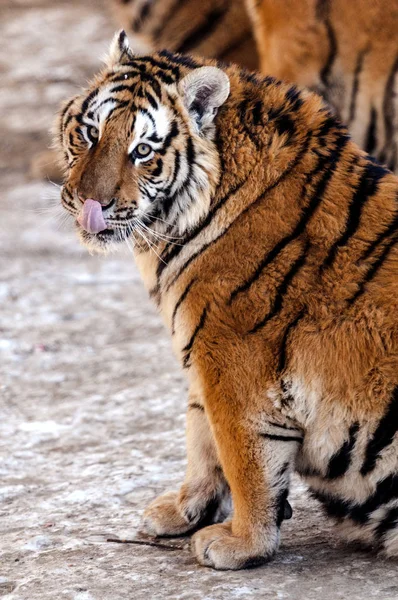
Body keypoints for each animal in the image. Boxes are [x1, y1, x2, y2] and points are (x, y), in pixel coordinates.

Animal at [55, 29, 398, 572]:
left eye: (142, 150)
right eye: (90, 133)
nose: (92, 204)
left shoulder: (235, 363)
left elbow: (243, 457)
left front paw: (241, 541)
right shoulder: (201, 352)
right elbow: (201, 436)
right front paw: (183, 509)